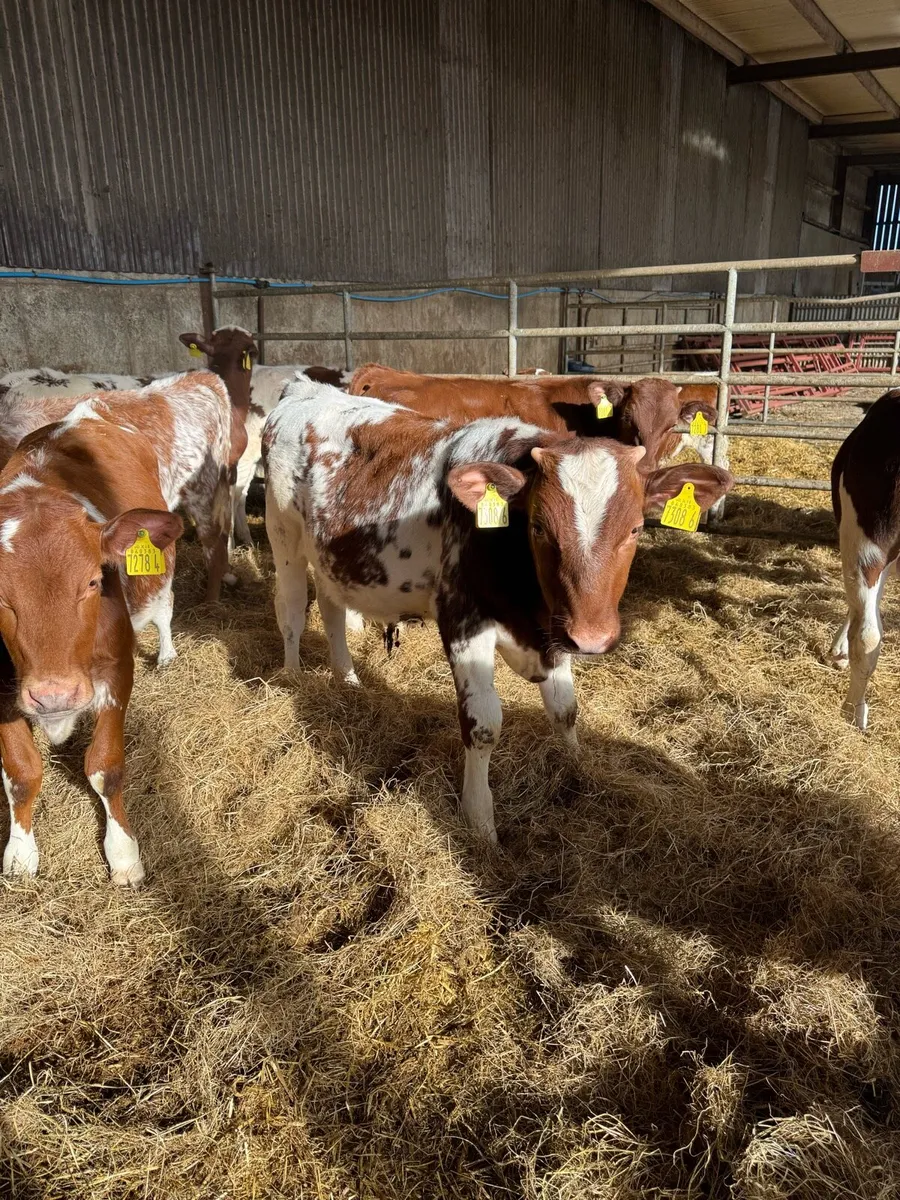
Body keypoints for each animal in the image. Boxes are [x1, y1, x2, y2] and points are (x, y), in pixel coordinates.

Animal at [0, 407, 183, 884]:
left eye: (93, 582)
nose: (55, 695)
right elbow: (21, 773)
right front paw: (20, 852)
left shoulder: (117, 670)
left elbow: (105, 767)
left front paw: (123, 853)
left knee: (164, 609)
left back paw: (167, 655)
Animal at [262, 378, 732, 842]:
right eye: (539, 527)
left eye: (634, 528)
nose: (592, 638)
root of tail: (306, 388)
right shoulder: (464, 622)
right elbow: (483, 724)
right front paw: (480, 821)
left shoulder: (556, 625)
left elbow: (565, 707)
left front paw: (577, 764)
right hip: (283, 538)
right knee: (292, 609)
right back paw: (294, 677)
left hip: (329, 559)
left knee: (332, 610)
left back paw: (348, 680)